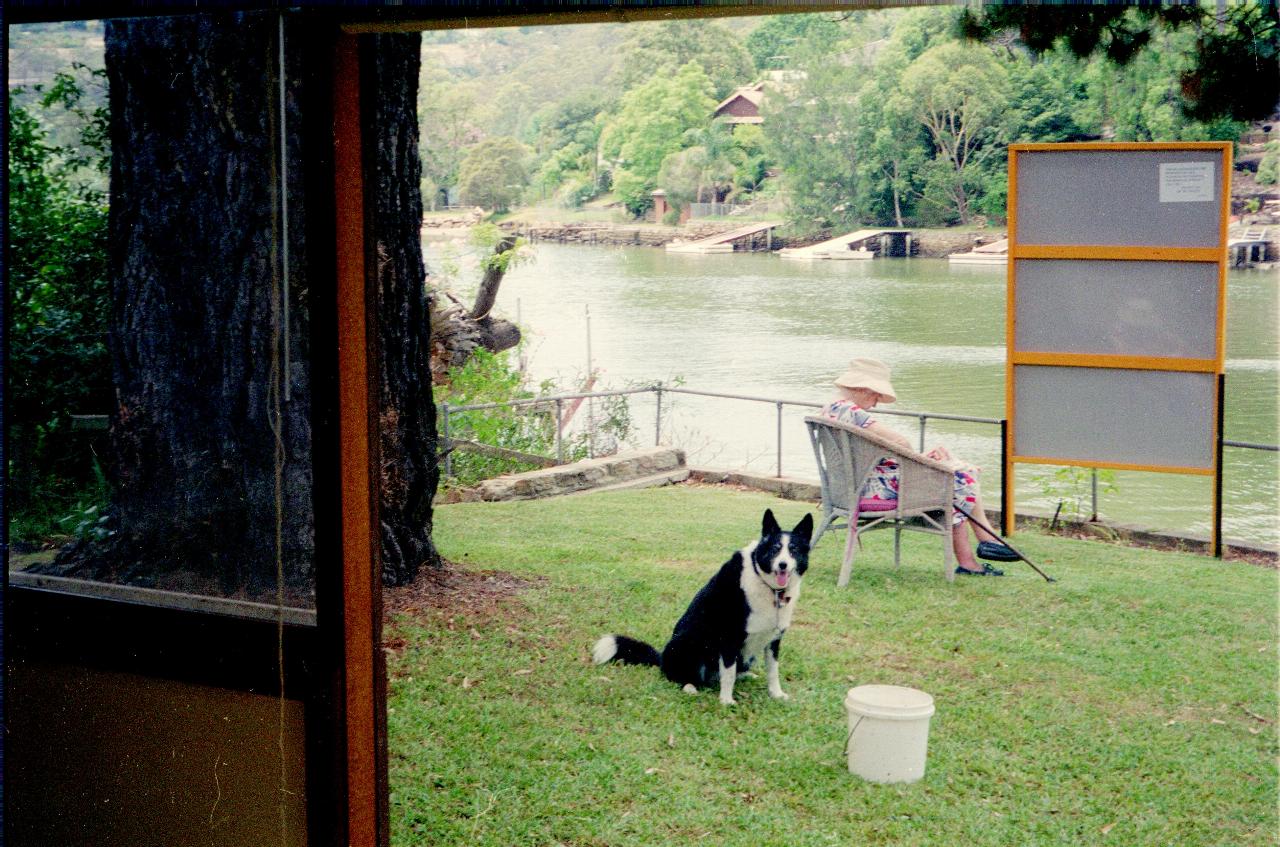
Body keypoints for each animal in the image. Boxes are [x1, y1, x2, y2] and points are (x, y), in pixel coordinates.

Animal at [593, 511, 814, 711]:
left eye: (793, 550)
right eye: (775, 549)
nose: (783, 565)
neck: (768, 586)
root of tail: (662, 658)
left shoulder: (774, 640)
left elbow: (773, 671)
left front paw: (776, 694)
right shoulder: (729, 637)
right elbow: (728, 673)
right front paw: (726, 701)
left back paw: (746, 675)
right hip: (687, 643)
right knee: (679, 676)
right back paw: (690, 687)